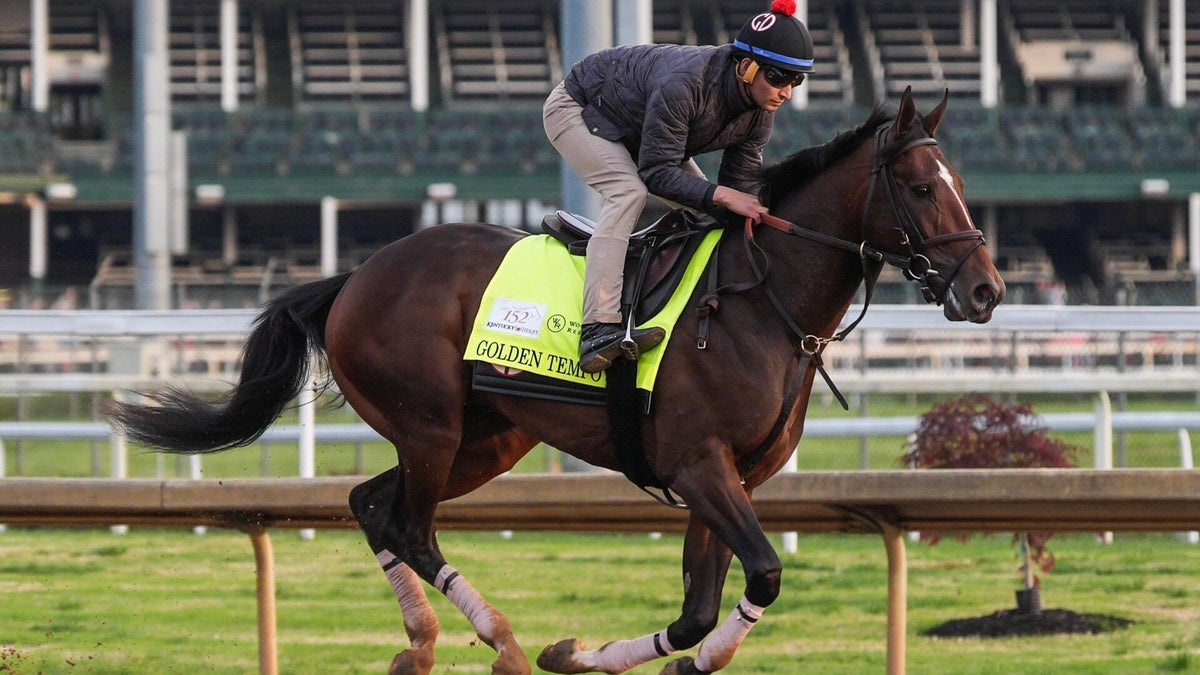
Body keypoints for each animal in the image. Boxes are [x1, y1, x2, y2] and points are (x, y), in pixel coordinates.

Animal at [109, 88, 1004, 675]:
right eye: (921, 187)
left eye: (962, 185)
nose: (986, 289)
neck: (762, 300)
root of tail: (355, 277)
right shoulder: (698, 466)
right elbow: (762, 575)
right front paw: (566, 650)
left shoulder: (733, 477)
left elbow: (698, 611)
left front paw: (584, 651)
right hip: (432, 424)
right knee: (412, 525)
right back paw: (499, 641)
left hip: (488, 438)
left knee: (369, 502)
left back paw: (424, 641)